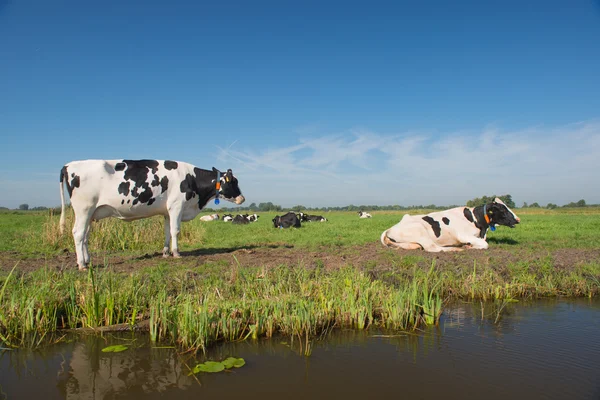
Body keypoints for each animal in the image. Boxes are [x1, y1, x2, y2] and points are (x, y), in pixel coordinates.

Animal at [56, 159, 244, 268]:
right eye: (233, 182)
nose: (242, 198)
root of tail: (68, 165)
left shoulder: (168, 211)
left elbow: (167, 232)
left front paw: (166, 253)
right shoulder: (176, 206)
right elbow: (175, 231)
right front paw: (176, 253)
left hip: (90, 213)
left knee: (85, 236)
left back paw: (87, 259)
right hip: (84, 209)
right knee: (78, 233)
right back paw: (82, 264)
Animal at [382, 198, 516, 253]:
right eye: (503, 209)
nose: (517, 219)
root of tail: (390, 228)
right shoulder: (463, 235)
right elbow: (485, 244)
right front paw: (469, 246)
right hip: (420, 230)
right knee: (432, 248)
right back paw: (455, 249)